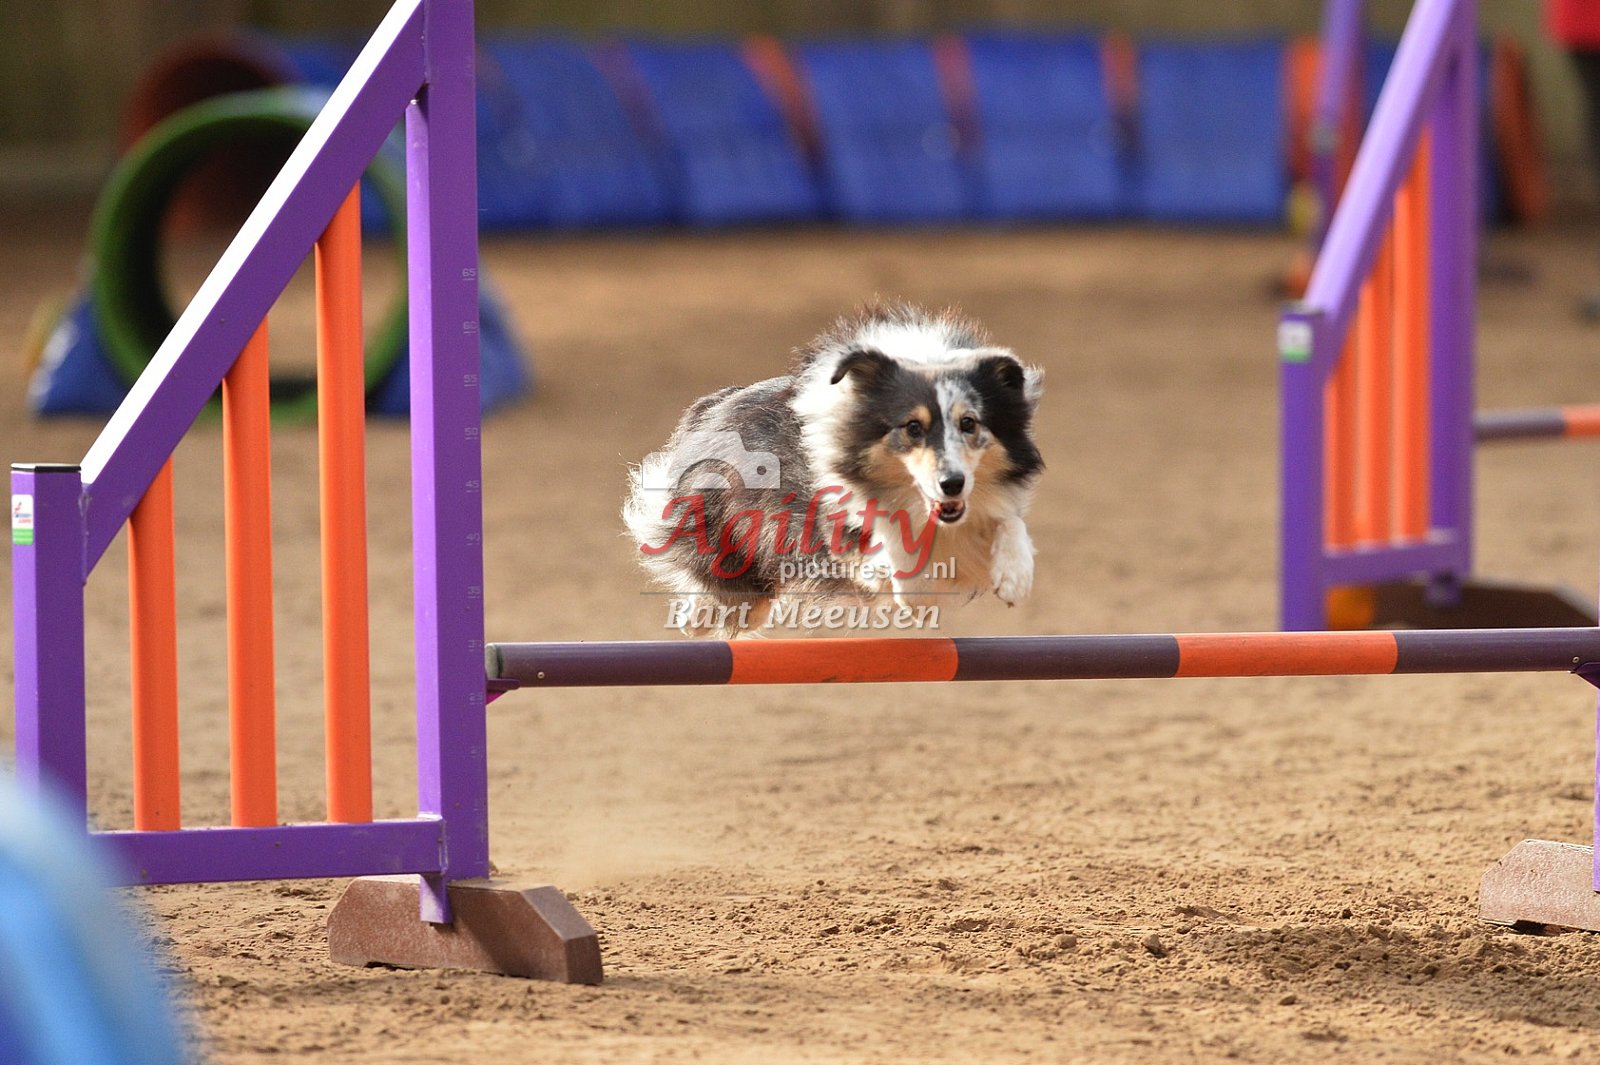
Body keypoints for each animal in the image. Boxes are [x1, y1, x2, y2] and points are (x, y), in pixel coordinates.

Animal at [623, 302, 1044, 637]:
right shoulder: (838, 525)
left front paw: (1015, 579)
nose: (952, 484)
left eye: (969, 423)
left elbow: (1011, 525)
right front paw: (911, 588)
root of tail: (715, 403)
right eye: (912, 427)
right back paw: (695, 618)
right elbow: (888, 550)